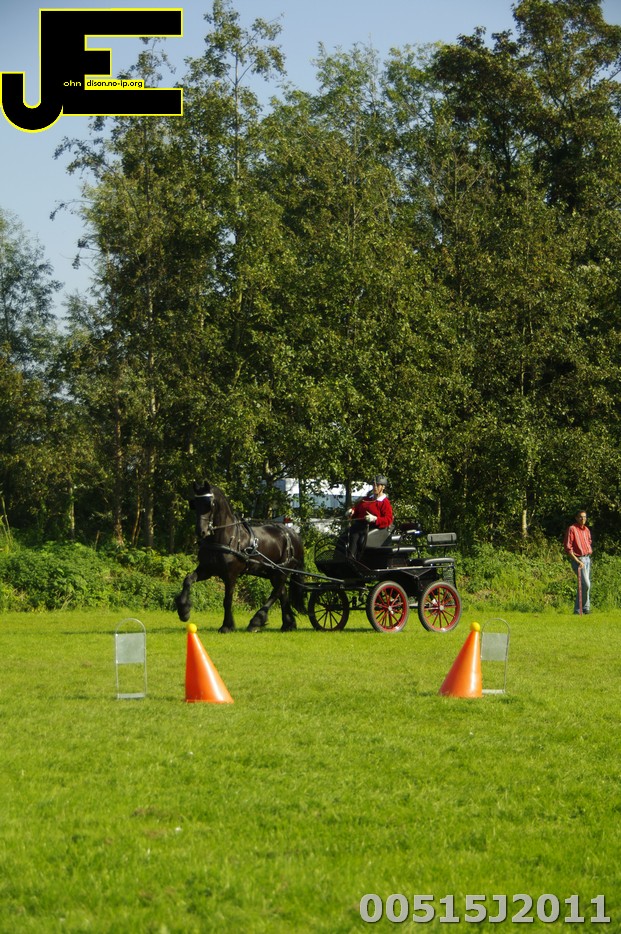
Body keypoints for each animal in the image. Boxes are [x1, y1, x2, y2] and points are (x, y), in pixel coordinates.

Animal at [175, 481, 306, 633]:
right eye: (194, 504)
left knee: (276, 592)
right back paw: (288, 624)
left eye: (210, 504)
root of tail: (292, 533)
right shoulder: (207, 569)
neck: (226, 537)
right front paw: (184, 611)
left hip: (282, 571)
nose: (200, 531)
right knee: (282, 593)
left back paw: (256, 621)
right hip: (273, 572)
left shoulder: (231, 574)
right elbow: (188, 580)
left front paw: (227, 626)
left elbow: (227, 600)